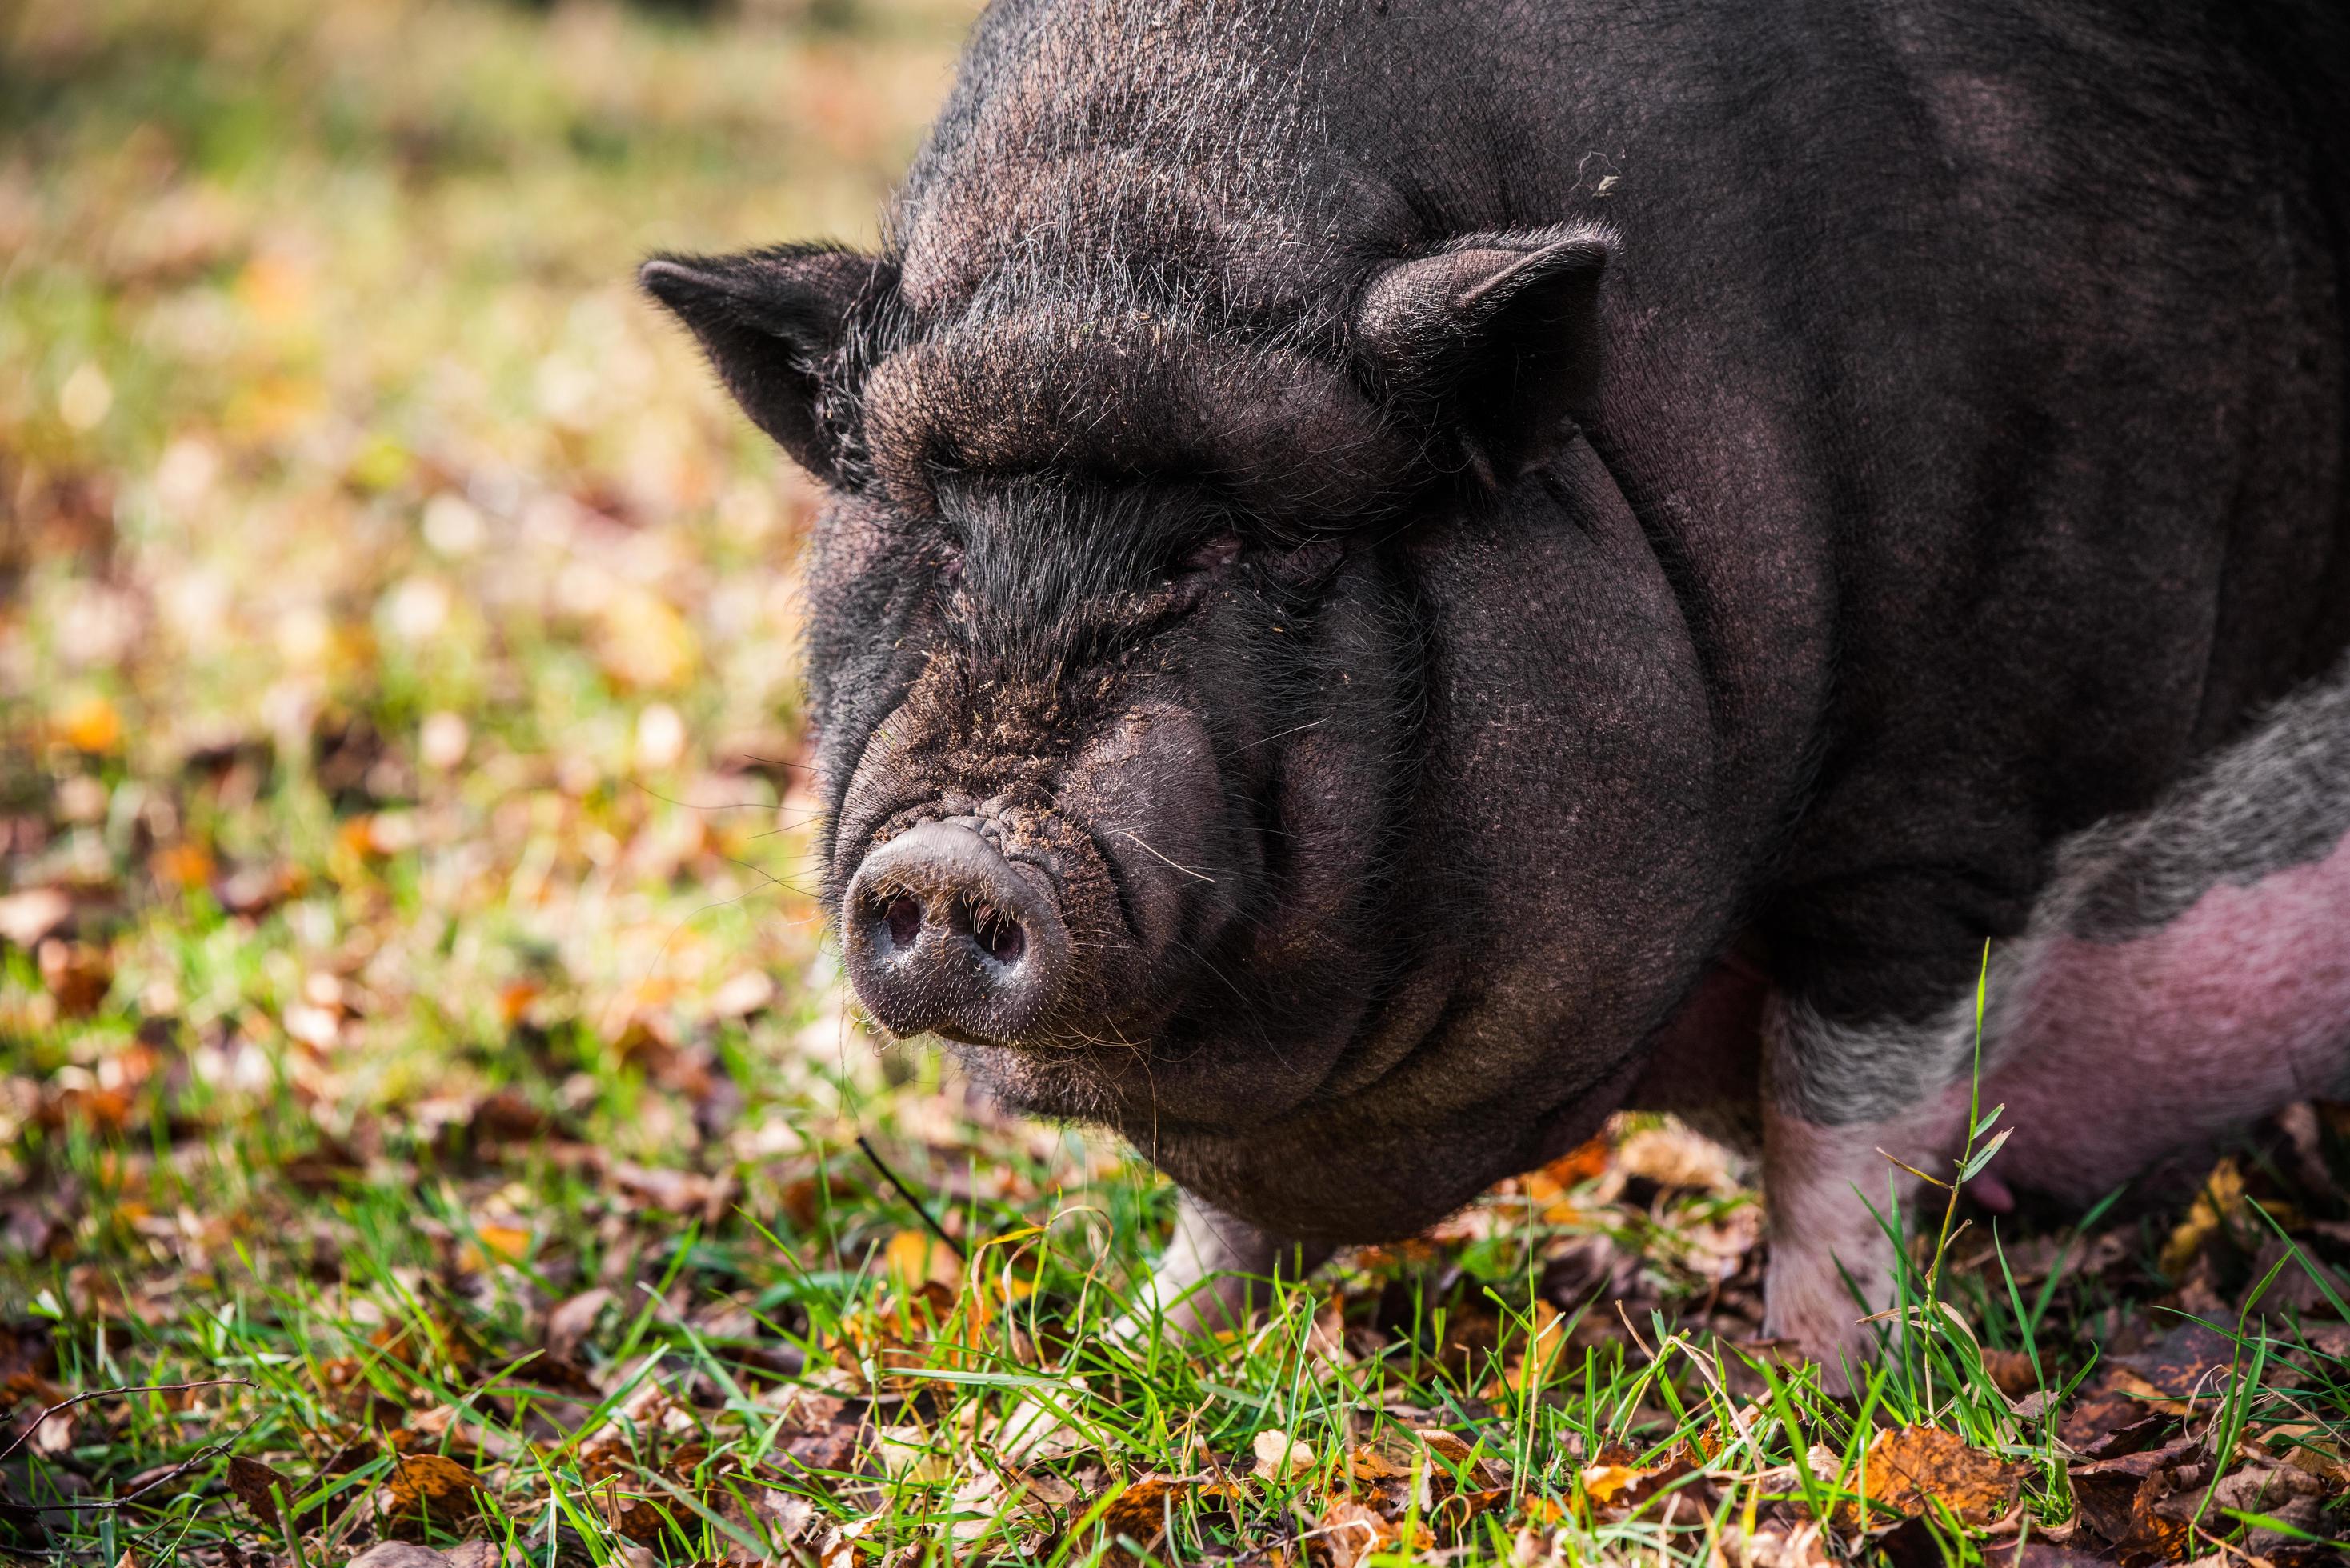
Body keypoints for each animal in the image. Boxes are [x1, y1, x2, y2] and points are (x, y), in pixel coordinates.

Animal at [643, 0, 2350, 1373]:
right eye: (934, 520)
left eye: (1241, 541)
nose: (952, 860)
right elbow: (1219, 1214)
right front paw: (1122, 1360)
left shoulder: (1946, 810)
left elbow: (1843, 1115)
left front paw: (1819, 1385)